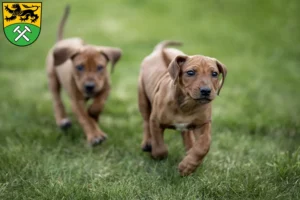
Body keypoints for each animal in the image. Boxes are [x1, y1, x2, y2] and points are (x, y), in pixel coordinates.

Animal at [46, 4, 121, 145]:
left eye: (100, 67)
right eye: (79, 67)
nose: (89, 86)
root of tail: (61, 41)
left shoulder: (106, 88)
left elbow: (99, 103)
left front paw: (93, 114)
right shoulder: (76, 102)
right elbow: (85, 119)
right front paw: (95, 135)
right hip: (52, 78)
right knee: (57, 100)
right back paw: (62, 120)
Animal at [138, 40, 227, 175]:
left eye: (214, 74)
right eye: (190, 72)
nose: (206, 91)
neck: (187, 104)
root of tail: (159, 51)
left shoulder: (204, 123)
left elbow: (203, 146)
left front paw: (188, 166)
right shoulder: (156, 121)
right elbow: (159, 147)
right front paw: (156, 153)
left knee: (186, 133)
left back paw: (189, 148)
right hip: (142, 97)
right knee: (146, 121)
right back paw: (147, 142)